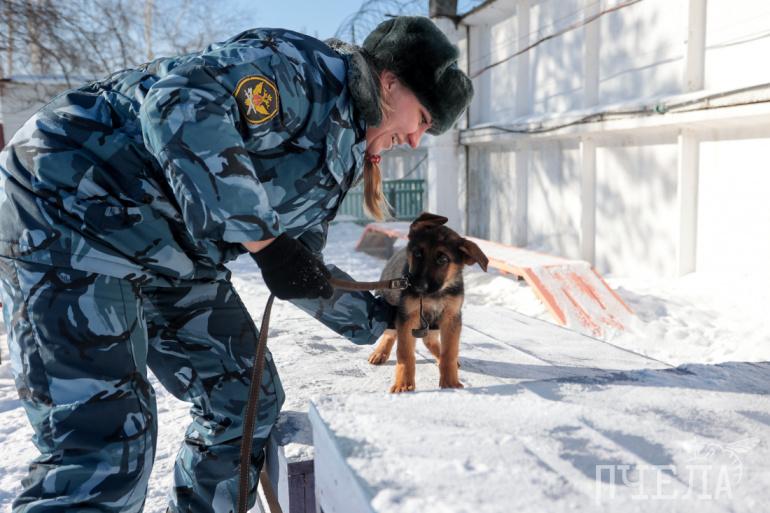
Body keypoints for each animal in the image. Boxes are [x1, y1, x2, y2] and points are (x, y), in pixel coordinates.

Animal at [367, 212, 489, 393]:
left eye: (443, 259)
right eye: (418, 254)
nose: (418, 286)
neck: (434, 295)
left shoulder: (451, 318)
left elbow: (449, 352)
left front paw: (450, 381)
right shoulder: (407, 317)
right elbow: (405, 353)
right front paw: (404, 384)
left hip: (433, 324)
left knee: (430, 340)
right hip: (391, 311)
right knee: (390, 333)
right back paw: (380, 352)